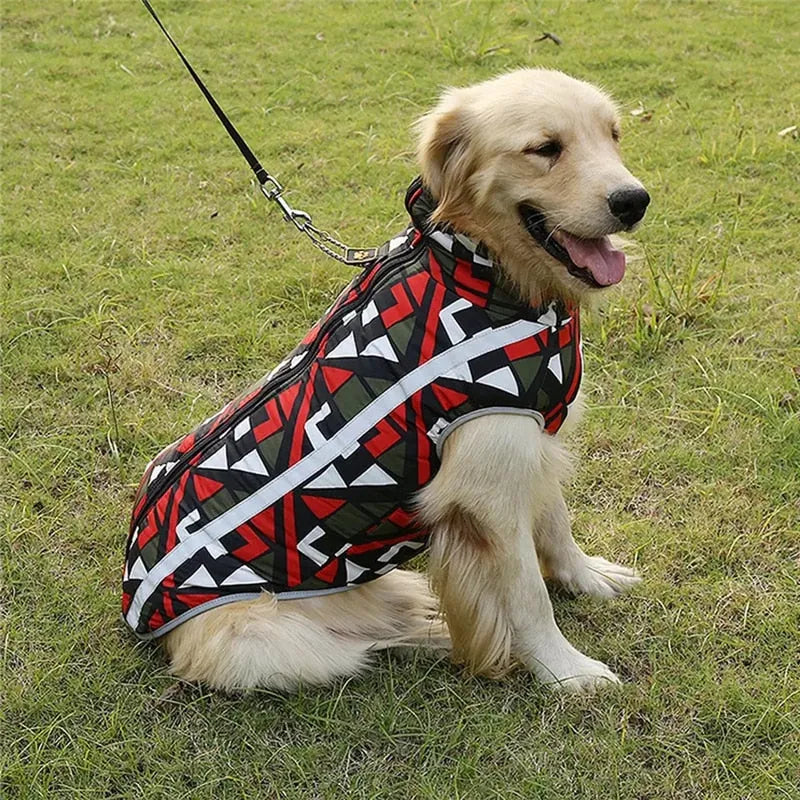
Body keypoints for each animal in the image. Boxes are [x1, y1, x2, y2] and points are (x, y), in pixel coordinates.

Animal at [159, 70, 648, 692]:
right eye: (545, 148)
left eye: (613, 135)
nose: (634, 201)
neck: (488, 275)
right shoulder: (487, 492)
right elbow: (528, 597)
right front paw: (565, 671)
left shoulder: (531, 442)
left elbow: (557, 525)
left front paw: (586, 577)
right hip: (281, 640)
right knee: (377, 641)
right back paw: (447, 636)